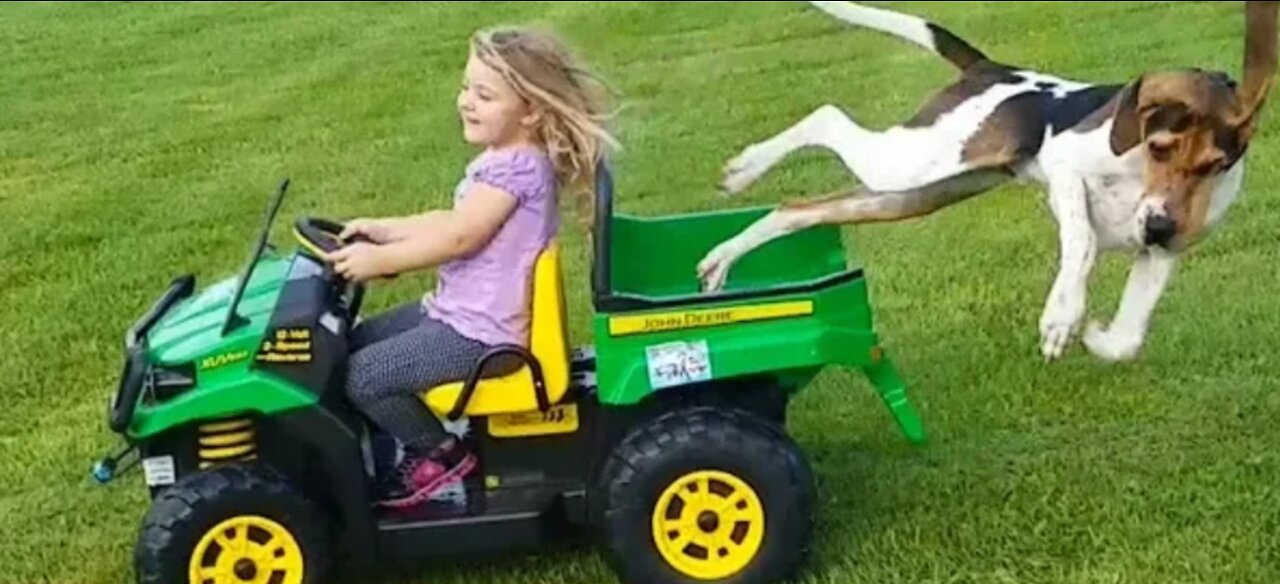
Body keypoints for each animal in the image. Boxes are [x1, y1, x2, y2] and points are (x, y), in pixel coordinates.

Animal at [701, 0, 1280, 363]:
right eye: (1159, 148)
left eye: (1215, 165)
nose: (1160, 226)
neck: (1138, 170)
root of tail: (991, 68)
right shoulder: (1066, 168)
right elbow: (1083, 243)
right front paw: (1062, 318)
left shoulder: (1161, 253)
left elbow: (1130, 335)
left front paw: (1097, 337)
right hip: (912, 162)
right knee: (825, 117)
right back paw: (745, 168)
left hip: (911, 192)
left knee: (797, 209)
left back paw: (719, 261)